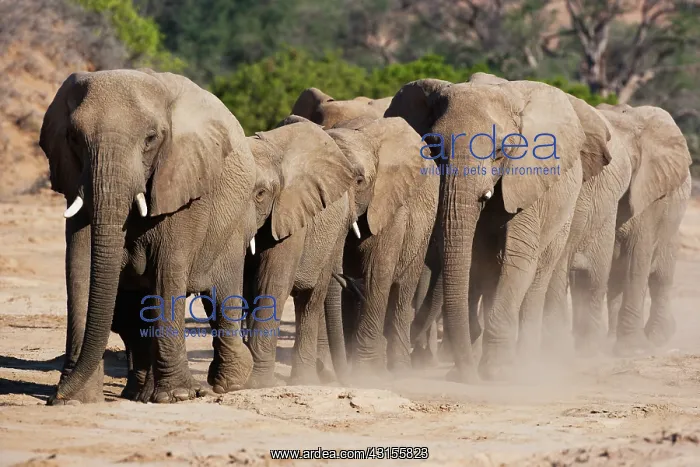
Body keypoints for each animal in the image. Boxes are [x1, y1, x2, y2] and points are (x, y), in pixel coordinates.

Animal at [40, 69, 275, 404]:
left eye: (151, 138)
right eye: (73, 138)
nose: (53, 397)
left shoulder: (183, 182)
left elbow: (169, 267)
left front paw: (178, 396)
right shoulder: (74, 181)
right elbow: (79, 267)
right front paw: (75, 399)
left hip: (235, 224)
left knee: (221, 298)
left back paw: (228, 384)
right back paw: (142, 394)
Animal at [242, 117, 360, 388]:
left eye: (261, 194)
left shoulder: (291, 215)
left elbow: (272, 284)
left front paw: (256, 384)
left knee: (309, 301)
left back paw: (304, 380)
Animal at [385, 74, 612, 382]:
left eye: (499, 152)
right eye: (433, 145)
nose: (466, 376)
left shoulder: (528, 181)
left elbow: (517, 259)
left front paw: (496, 372)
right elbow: (475, 261)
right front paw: (469, 368)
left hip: (563, 212)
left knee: (538, 275)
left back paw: (526, 364)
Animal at [595, 103, 692, 355]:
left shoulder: (650, 196)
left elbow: (637, 258)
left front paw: (632, 349)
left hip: (671, 224)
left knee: (661, 278)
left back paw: (659, 337)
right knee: (615, 280)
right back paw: (609, 340)